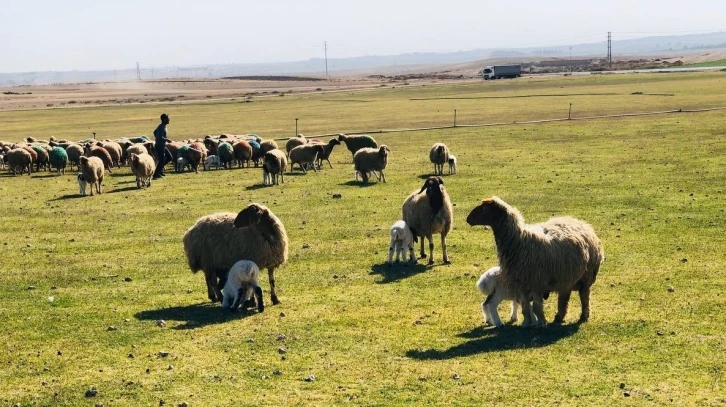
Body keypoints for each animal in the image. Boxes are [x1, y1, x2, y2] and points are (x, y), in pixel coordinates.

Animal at [470, 197, 604, 328]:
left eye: (485, 208)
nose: (468, 219)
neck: (520, 241)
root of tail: (582, 223)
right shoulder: (521, 284)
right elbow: (525, 307)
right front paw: (526, 323)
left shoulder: (537, 283)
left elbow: (536, 307)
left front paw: (541, 323)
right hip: (566, 276)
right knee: (564, 296)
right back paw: (559, 317)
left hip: (586, 276)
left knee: (584, 296)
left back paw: (583, 316)